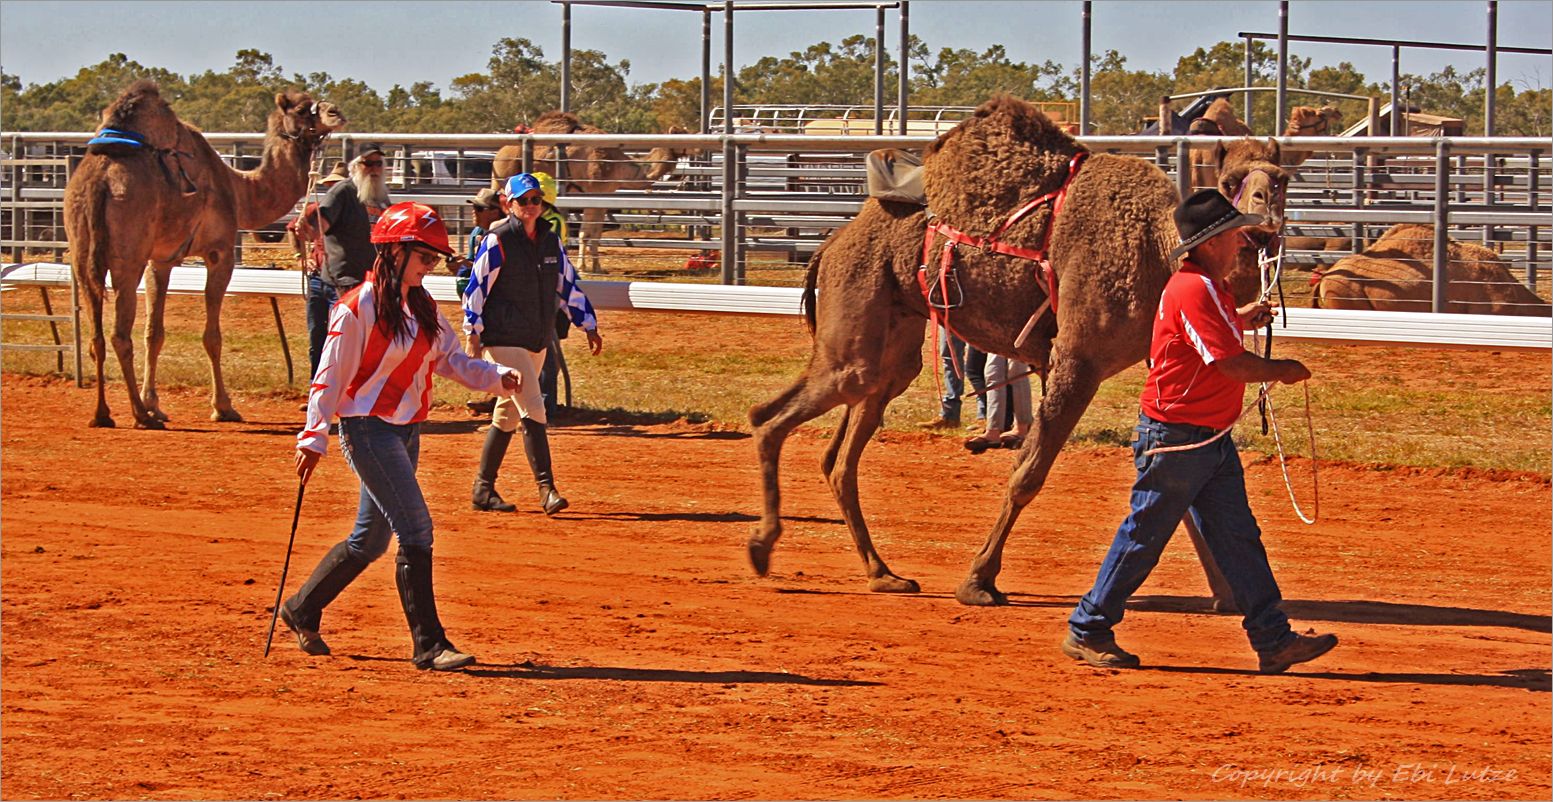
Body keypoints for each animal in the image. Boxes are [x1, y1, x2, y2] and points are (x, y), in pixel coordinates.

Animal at [64, 82, 343, 428]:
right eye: (304, 109)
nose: (336, 112)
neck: (238, 190)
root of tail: (98, 183)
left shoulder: (160, 259)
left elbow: (154, 333)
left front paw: (155, 403)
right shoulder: (219, 252)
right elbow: (212, 336)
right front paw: (223, 407)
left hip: (81, 254)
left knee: (97, 337)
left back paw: (103, 414)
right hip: (127, 257)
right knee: (118, 335)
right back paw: (140, 416)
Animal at [493, 109, 689, 273]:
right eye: (681, 133)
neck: (617, 166)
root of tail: (498, 155)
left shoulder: (604, 197)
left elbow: (596, 234)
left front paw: (597, 267)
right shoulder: (591, 192)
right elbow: (584, 233)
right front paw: (582, 267)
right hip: (505, 178)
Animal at [742, 97, 1285, 606]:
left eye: (1281, 178)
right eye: (1233, 179)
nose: (1262, 216)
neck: (1157, 246)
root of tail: (829, 245)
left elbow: (1179, 482)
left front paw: (1226, 592)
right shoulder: (1078, 358)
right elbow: (1029, 473)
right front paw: (978, 582)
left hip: (890, 348)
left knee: (831, 450)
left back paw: (883, 574)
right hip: (857, 318)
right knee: (774, 419)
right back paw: (762, 547)